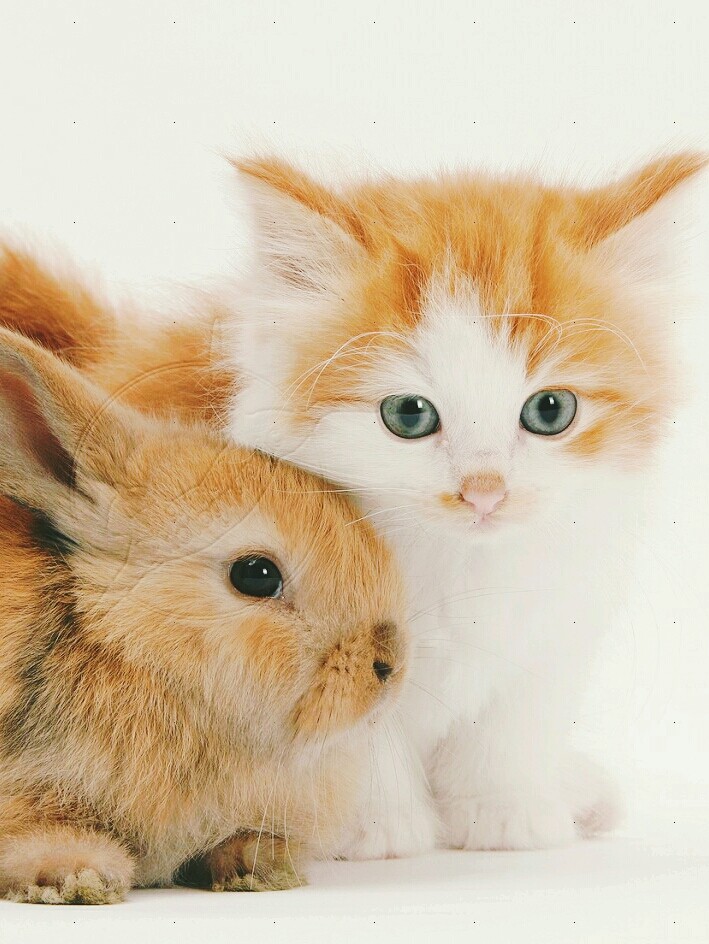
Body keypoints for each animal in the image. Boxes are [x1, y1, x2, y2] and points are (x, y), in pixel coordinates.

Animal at [0, 325, 408, 904]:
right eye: (256, 575)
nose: (389, 663)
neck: (135, 655)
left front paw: (260, 866)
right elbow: (35, 833)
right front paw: (79, 875)